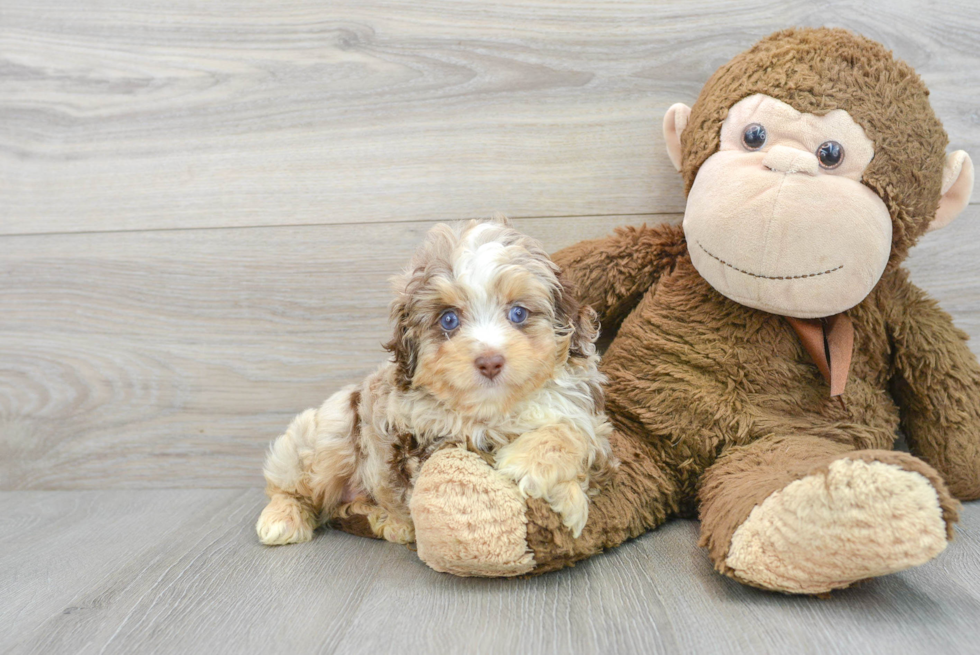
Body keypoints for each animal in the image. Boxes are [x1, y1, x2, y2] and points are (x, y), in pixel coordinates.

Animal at [256, 218, 616, 544]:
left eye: (518, 313)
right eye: (449, 320)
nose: (490, 362)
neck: (493, 411)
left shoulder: (588, 421)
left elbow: (573, 432)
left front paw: (548, 478)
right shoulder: (423, 443)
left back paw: (382, 520)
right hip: (330, 432)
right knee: (289, 484)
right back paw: (282, 519)